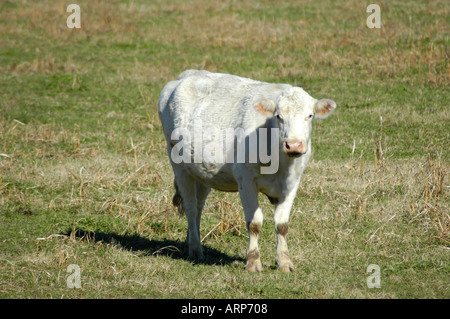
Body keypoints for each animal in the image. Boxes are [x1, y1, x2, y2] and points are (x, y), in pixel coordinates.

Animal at [156, 70, 336, 272]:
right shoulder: (246, 180)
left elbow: (282, 224)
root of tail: (188, 74)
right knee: (190, 206)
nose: (294, 145)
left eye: (310, 115)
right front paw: (253, 261)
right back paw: (195, 250)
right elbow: (254, 223)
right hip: (179, 165)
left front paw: (284, 262)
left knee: (198, 207)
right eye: (279, 116)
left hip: (201, 173)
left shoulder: (293, 182)